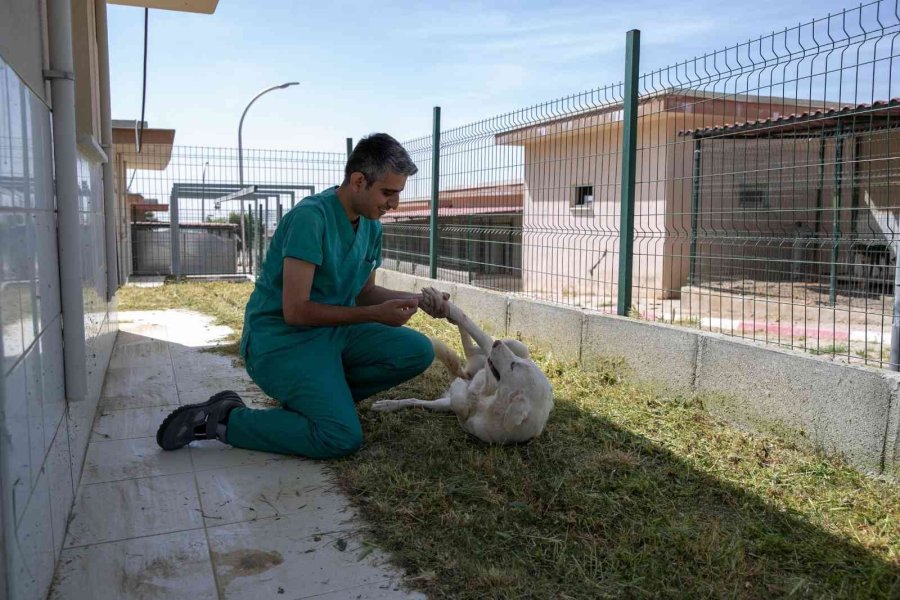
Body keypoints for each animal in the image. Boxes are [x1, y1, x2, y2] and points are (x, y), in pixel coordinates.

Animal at [370, 286, 552, 446]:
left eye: (514, 365)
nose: (497, 343)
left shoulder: (459, 411)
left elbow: (458, 400)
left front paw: (461, 388)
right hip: (517, 346)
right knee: (472, 335)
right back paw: (444, 306)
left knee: (472, 348)